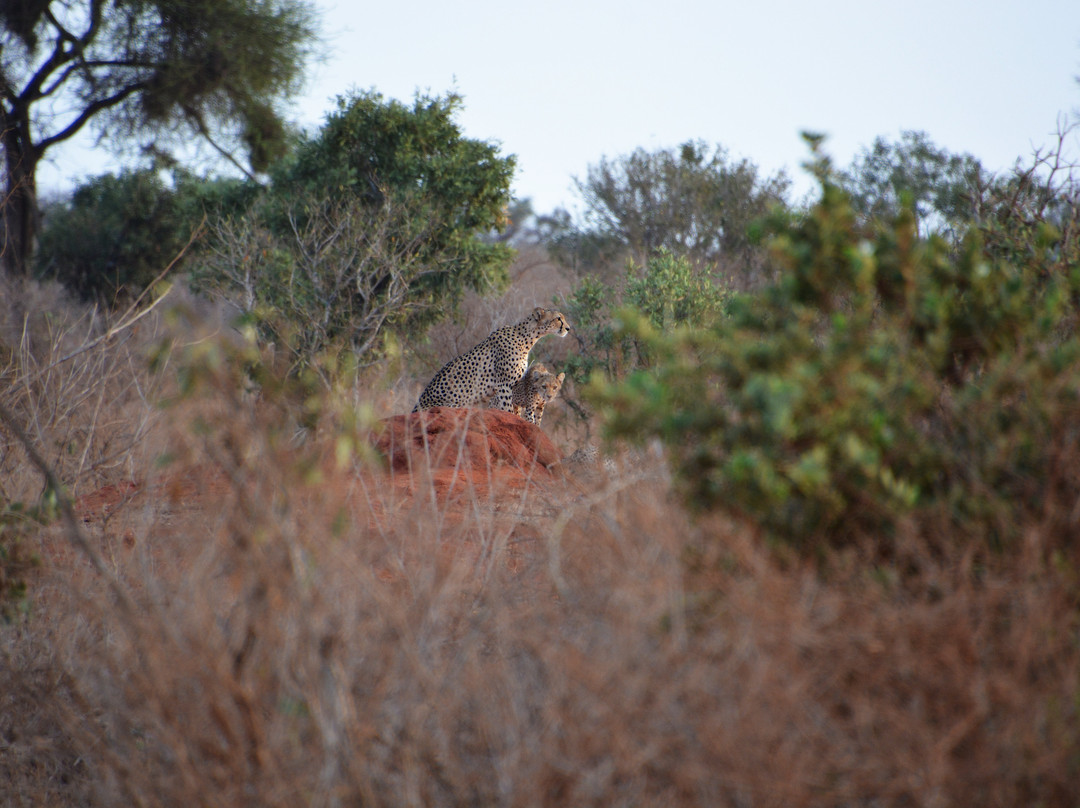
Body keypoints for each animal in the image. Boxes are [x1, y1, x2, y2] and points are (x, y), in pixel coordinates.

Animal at [410, 306, 570, 412]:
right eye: (558, 318)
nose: (568, 328)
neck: (526, 339)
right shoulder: (504, 385)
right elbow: (507, 411)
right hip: (452, 405)